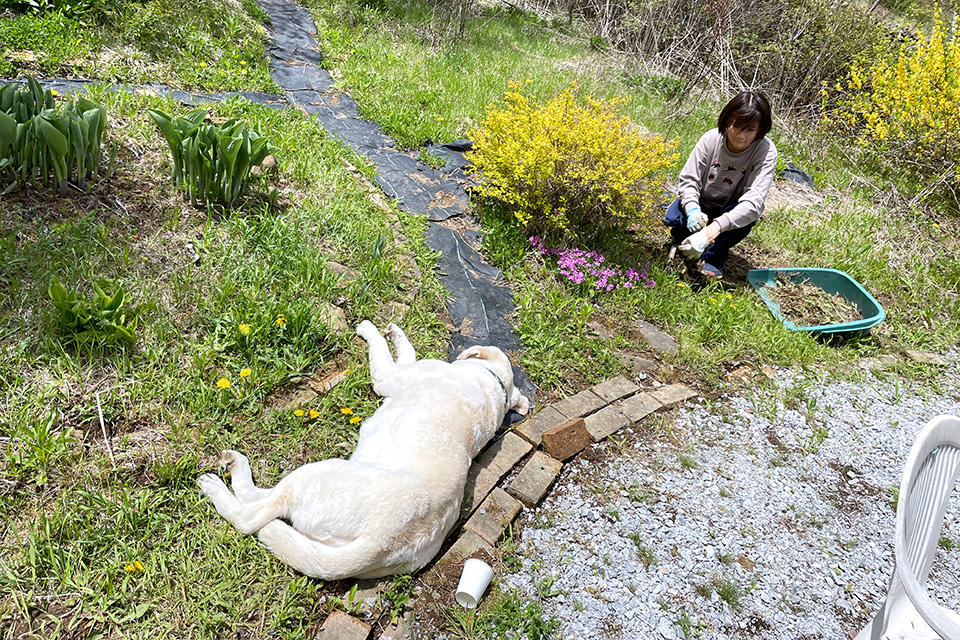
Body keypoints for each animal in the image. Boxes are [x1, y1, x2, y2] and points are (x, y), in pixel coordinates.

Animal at [198, 320, 529, 580]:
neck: (493, 387)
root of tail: (379, 542)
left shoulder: (389, 378)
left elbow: (382, 349)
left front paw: (370, 329)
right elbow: (407, 351)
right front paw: (395, 332)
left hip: (317, 474)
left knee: (250, 514)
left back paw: (222, 480)